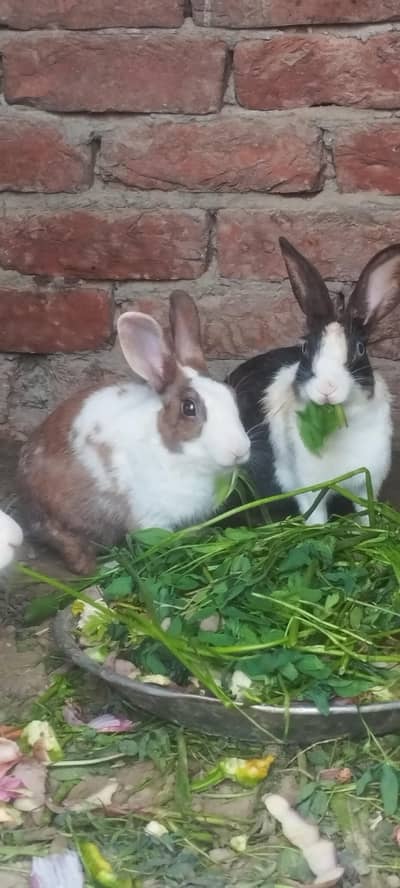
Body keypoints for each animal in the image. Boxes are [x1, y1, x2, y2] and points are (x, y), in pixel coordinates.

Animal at [18, 291, 250, 575]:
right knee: (73, 550)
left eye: (232, 396)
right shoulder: (152, 517)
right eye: (189, 408)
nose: (240, 450)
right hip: (63, 520)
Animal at [227, 237, 400, 524]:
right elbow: (315, 516)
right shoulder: (307, 488)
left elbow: (365, 513)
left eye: (361, 349)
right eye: (306, 348)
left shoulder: (367, 482)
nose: (327, 389)